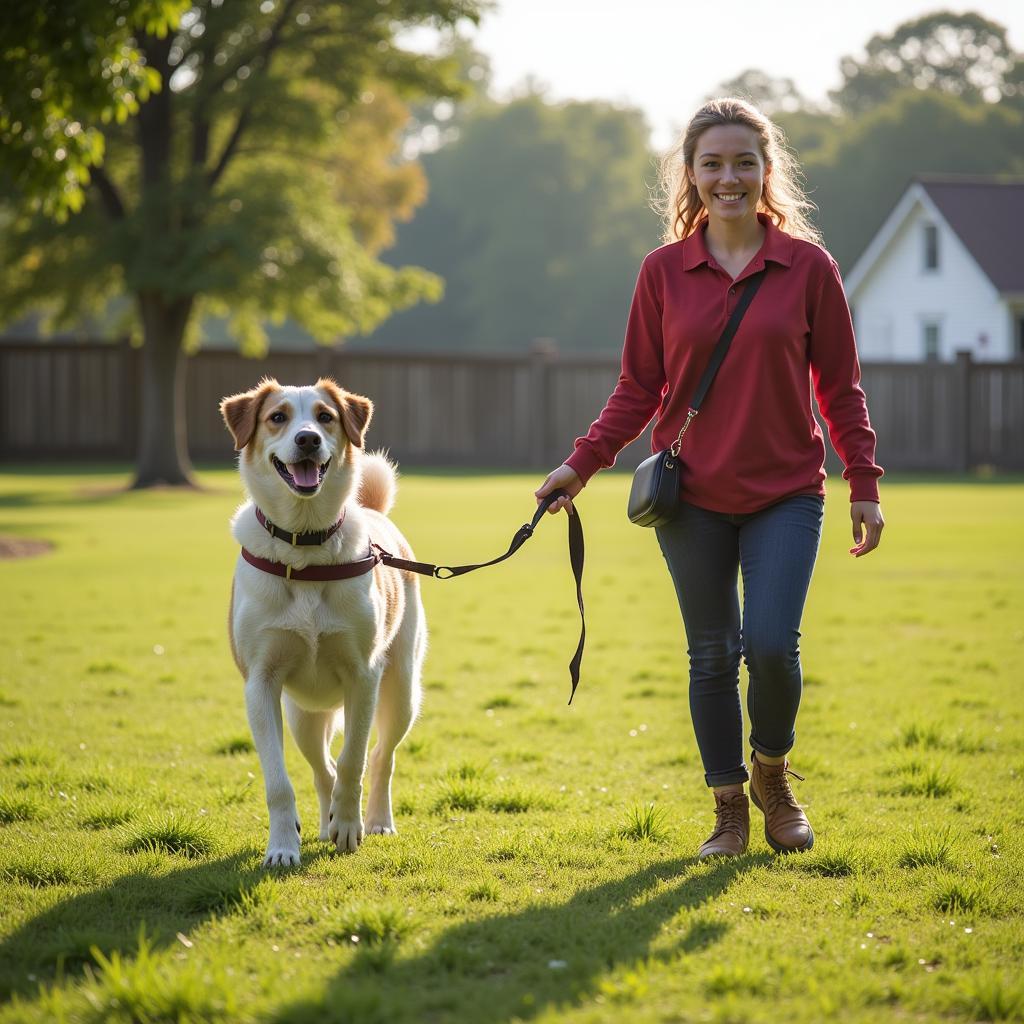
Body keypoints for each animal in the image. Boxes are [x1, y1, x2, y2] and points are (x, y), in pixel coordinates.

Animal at [220, 380, 423, 868]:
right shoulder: (260, 684)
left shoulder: (363, 677)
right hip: (302, 717)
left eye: (325, 416)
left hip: (402, 690)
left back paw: (375, 820)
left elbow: (355, 761)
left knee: (381, 756)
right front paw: (282, 847)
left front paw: (349, 828)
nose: (308, 439)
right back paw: (321, 821)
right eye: (277, 417)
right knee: (321, 767)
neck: (305, 546)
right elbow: (279, 780)